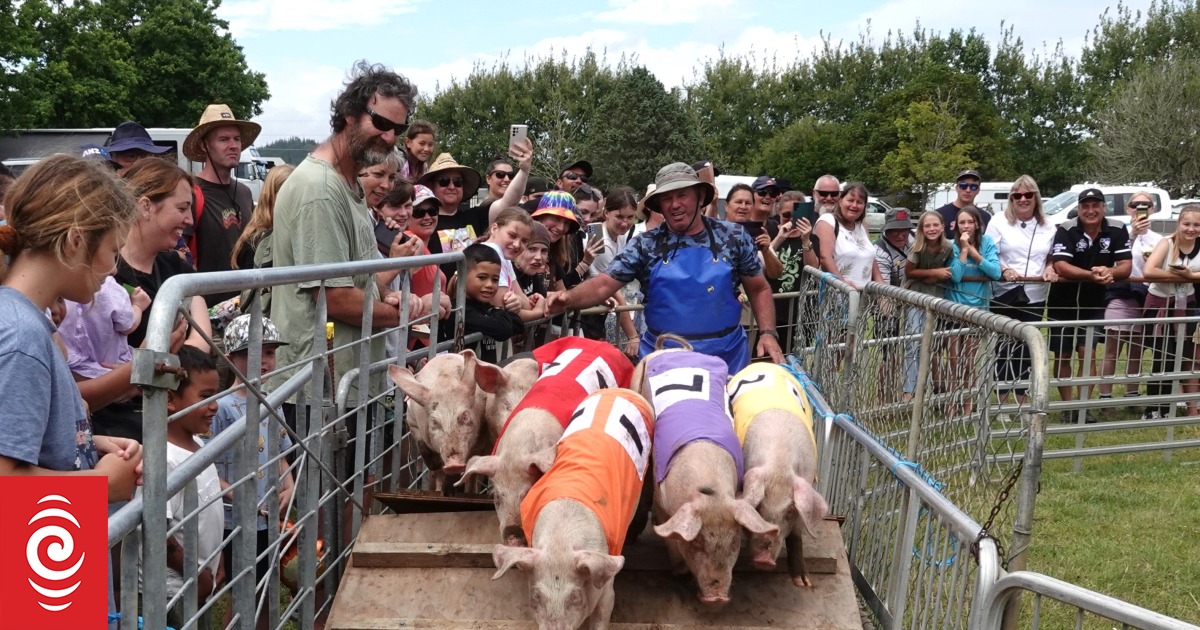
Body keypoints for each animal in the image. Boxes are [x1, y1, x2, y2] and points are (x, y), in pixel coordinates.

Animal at [489, 388, 652, 628]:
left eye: (575, 596)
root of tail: (619, 391)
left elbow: (603, 614)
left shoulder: (607, 584)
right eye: (537, 596)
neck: (561, 540)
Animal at [638, 336, 777, 607]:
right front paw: (679, 573)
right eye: (698, 543)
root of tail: (672, 349)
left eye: (734, 542)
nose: (717, 597)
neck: (711, 491)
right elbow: (669, 535)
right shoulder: (663, 504)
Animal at [724, 360, 830, 588]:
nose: (765, 560)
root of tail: (764, 363)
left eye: (790, 511)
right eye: (759, 507)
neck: (779, 463)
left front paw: (803, 583)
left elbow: (797, 532)